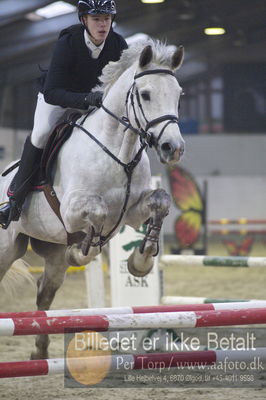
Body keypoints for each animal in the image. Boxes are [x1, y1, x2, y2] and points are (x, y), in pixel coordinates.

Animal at [0, 39, 185, 360]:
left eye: (178, 94)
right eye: (146, 94)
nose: (172, 148)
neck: (118, 151)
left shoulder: (132, 212)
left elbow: (160, 202)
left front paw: (141, 260)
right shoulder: (72, 209)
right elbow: (97, 212)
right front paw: (81, 252)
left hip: (51, 256)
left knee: (44, 294)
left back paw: (40, 353)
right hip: (4, 249)